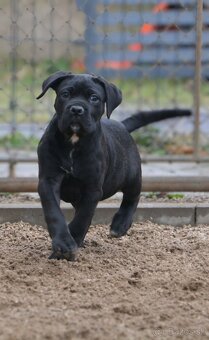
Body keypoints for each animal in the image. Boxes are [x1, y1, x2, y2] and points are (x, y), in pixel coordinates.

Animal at [36, 70, 191, 258]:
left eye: (94, 98)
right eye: (65, 94)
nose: (76, 109)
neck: (73, 141)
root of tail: (122, 125)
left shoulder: (92, 189)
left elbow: (82, 218)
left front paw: (70, 242)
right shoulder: (48, 181)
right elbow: (54, 212)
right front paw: (64, 243)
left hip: (131, 176)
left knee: (133, 197)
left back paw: (120, 224)